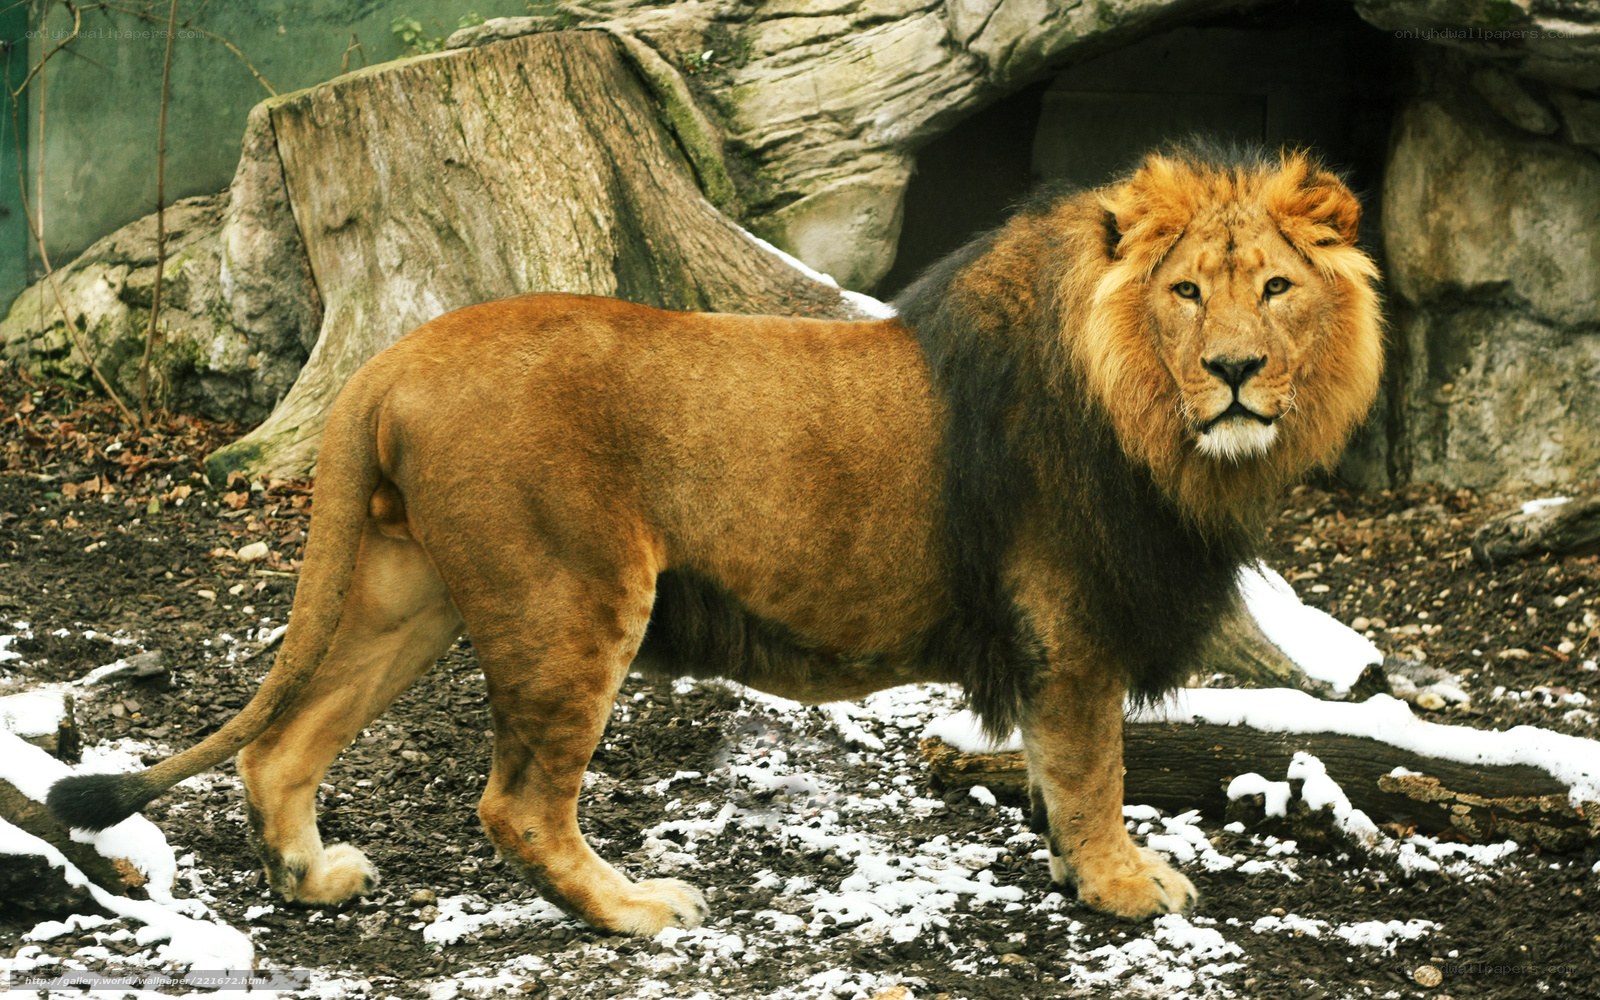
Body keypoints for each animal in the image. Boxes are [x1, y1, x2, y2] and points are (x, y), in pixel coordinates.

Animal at [48, 146, 1382, 936]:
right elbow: (1093, 766)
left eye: (1274, 289)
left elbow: (1060, 774)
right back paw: (634, 909)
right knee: (516, 802)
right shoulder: (1068, 613)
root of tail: (394, 355)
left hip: (407, 588)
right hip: (570, 596)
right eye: (1184, 292)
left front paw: (1076, 871)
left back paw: (311, 875)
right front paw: (1122, 889)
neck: (1153, 422)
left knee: (285, 743)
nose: (1235, 372)